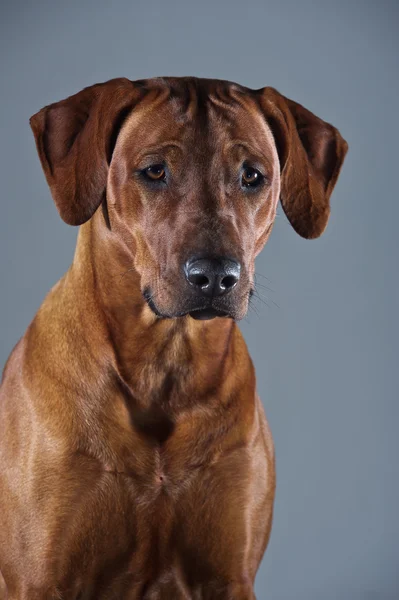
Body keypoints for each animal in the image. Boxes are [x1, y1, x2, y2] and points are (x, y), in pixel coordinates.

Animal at [0, 77, 348, 596]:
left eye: (252, 176)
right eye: (154, 171)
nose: (216, 276)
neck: (164, 362)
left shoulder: (230, 577)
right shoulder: (38, 581)